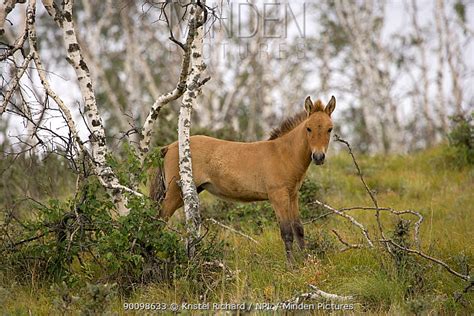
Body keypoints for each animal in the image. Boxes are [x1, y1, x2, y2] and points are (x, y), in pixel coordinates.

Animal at [150, 95, 336, 260]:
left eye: (330, 129)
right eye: (308, 128)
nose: (318, 157)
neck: (283, 154)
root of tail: (169, 147)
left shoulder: (293, 195)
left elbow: (298, 229)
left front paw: (306, 261)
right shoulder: (278, 197)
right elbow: (286, 232)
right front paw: (291, 267)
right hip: (175, 193)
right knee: (158, 221)